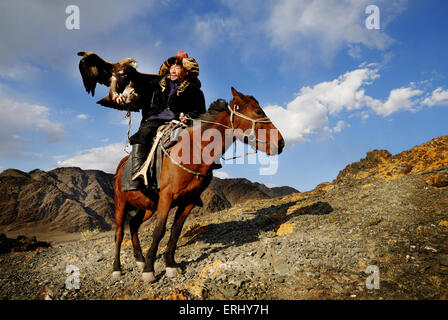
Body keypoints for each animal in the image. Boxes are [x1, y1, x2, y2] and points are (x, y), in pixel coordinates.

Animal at [114, 87, 286, 282]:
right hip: (121, 204)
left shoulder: (188, 200)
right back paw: (117, 268)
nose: (280, 142)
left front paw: (170, 265)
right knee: (119, 233)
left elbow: (175, 230)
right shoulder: (166, 197)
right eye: (258, 111)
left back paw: (140, 259)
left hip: (148, 206)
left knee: (133, 224)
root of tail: (121, 166)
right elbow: (159, 231)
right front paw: (149, 271)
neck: (193, 151)